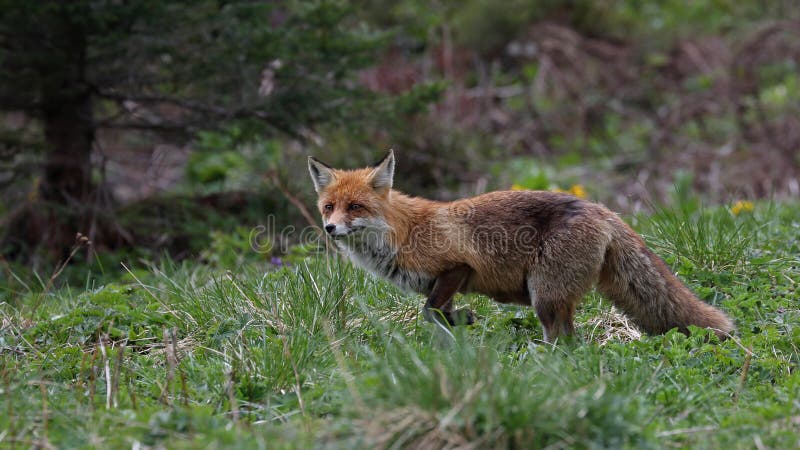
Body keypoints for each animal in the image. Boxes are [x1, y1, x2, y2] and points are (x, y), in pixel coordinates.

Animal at [310, 150, 736, 342]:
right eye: (329, 207)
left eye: (355, 207)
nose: (330, 228)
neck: (402, 232)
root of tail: (602, 209)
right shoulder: (443, 283)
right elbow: (439, 314)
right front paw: (462, 322)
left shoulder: (457, 267)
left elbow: (430, 312)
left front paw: (465, 320)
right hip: (553, 296)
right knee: (573, 341)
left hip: (543, 295)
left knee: (563, 342)